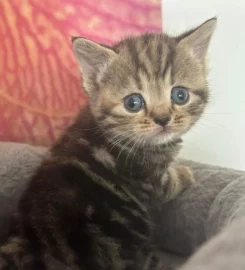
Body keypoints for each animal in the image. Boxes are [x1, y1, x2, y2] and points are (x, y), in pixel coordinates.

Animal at [0, 17, 216, 268]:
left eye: (180, 95)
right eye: (133, 102)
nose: (163, 119)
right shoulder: (150, 178)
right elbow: (168, 183)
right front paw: (185, 173)